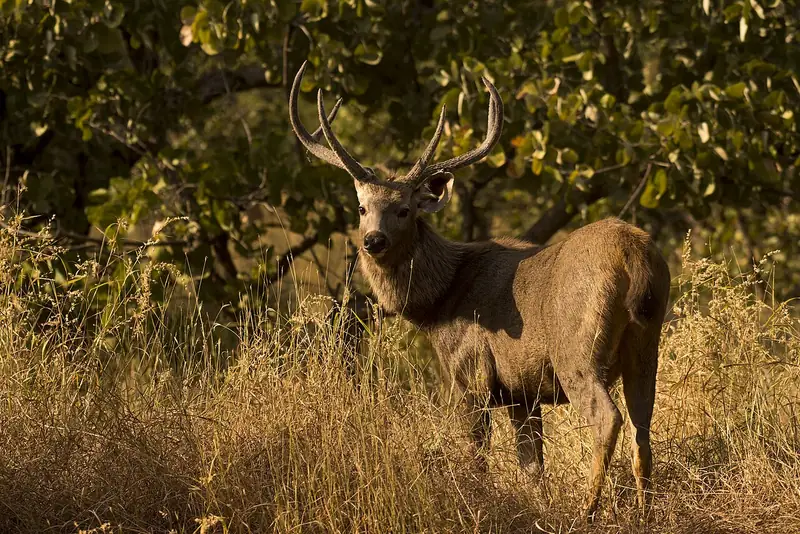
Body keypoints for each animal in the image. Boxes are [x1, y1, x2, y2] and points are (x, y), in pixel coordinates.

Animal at [288, 61, 670, 520]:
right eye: (362, 208)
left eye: (404, 209)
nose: (372, 240)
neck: (440, 303)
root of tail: (634, 256)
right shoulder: (522, 391)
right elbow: (532, 466)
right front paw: (537, 506)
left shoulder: (471, 374)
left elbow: (477, 456)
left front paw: (475, 501)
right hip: (645, 343)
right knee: (643, 426)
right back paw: (645, 511)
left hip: (577, 348)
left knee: (608, 418)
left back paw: (587, 510)